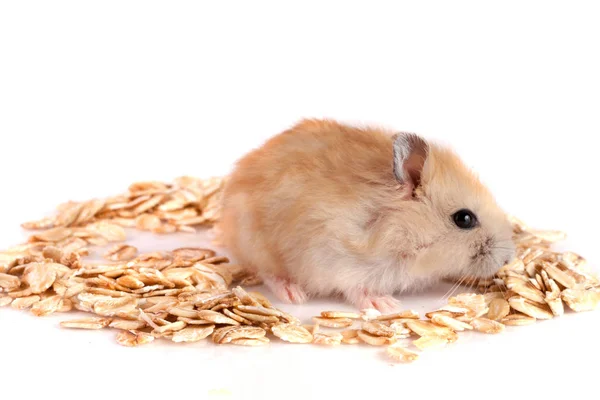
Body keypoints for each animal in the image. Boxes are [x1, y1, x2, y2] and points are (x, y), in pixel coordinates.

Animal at [218, 119, 516, 312]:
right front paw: (385, 305)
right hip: (257, 244)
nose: (508, 259)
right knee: (268, 272)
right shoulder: (338, 262)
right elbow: (356, 288)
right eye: (464, 219)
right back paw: (294, 295)